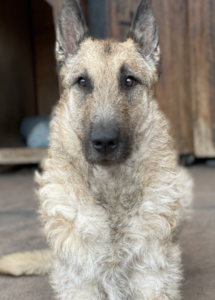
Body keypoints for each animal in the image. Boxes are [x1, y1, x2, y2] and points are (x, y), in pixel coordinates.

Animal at [0, 1, 192, 298]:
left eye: (129, 81)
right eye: (82, 82)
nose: (104, 142)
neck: (110, 193)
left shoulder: (152, 277)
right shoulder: (80, 282)